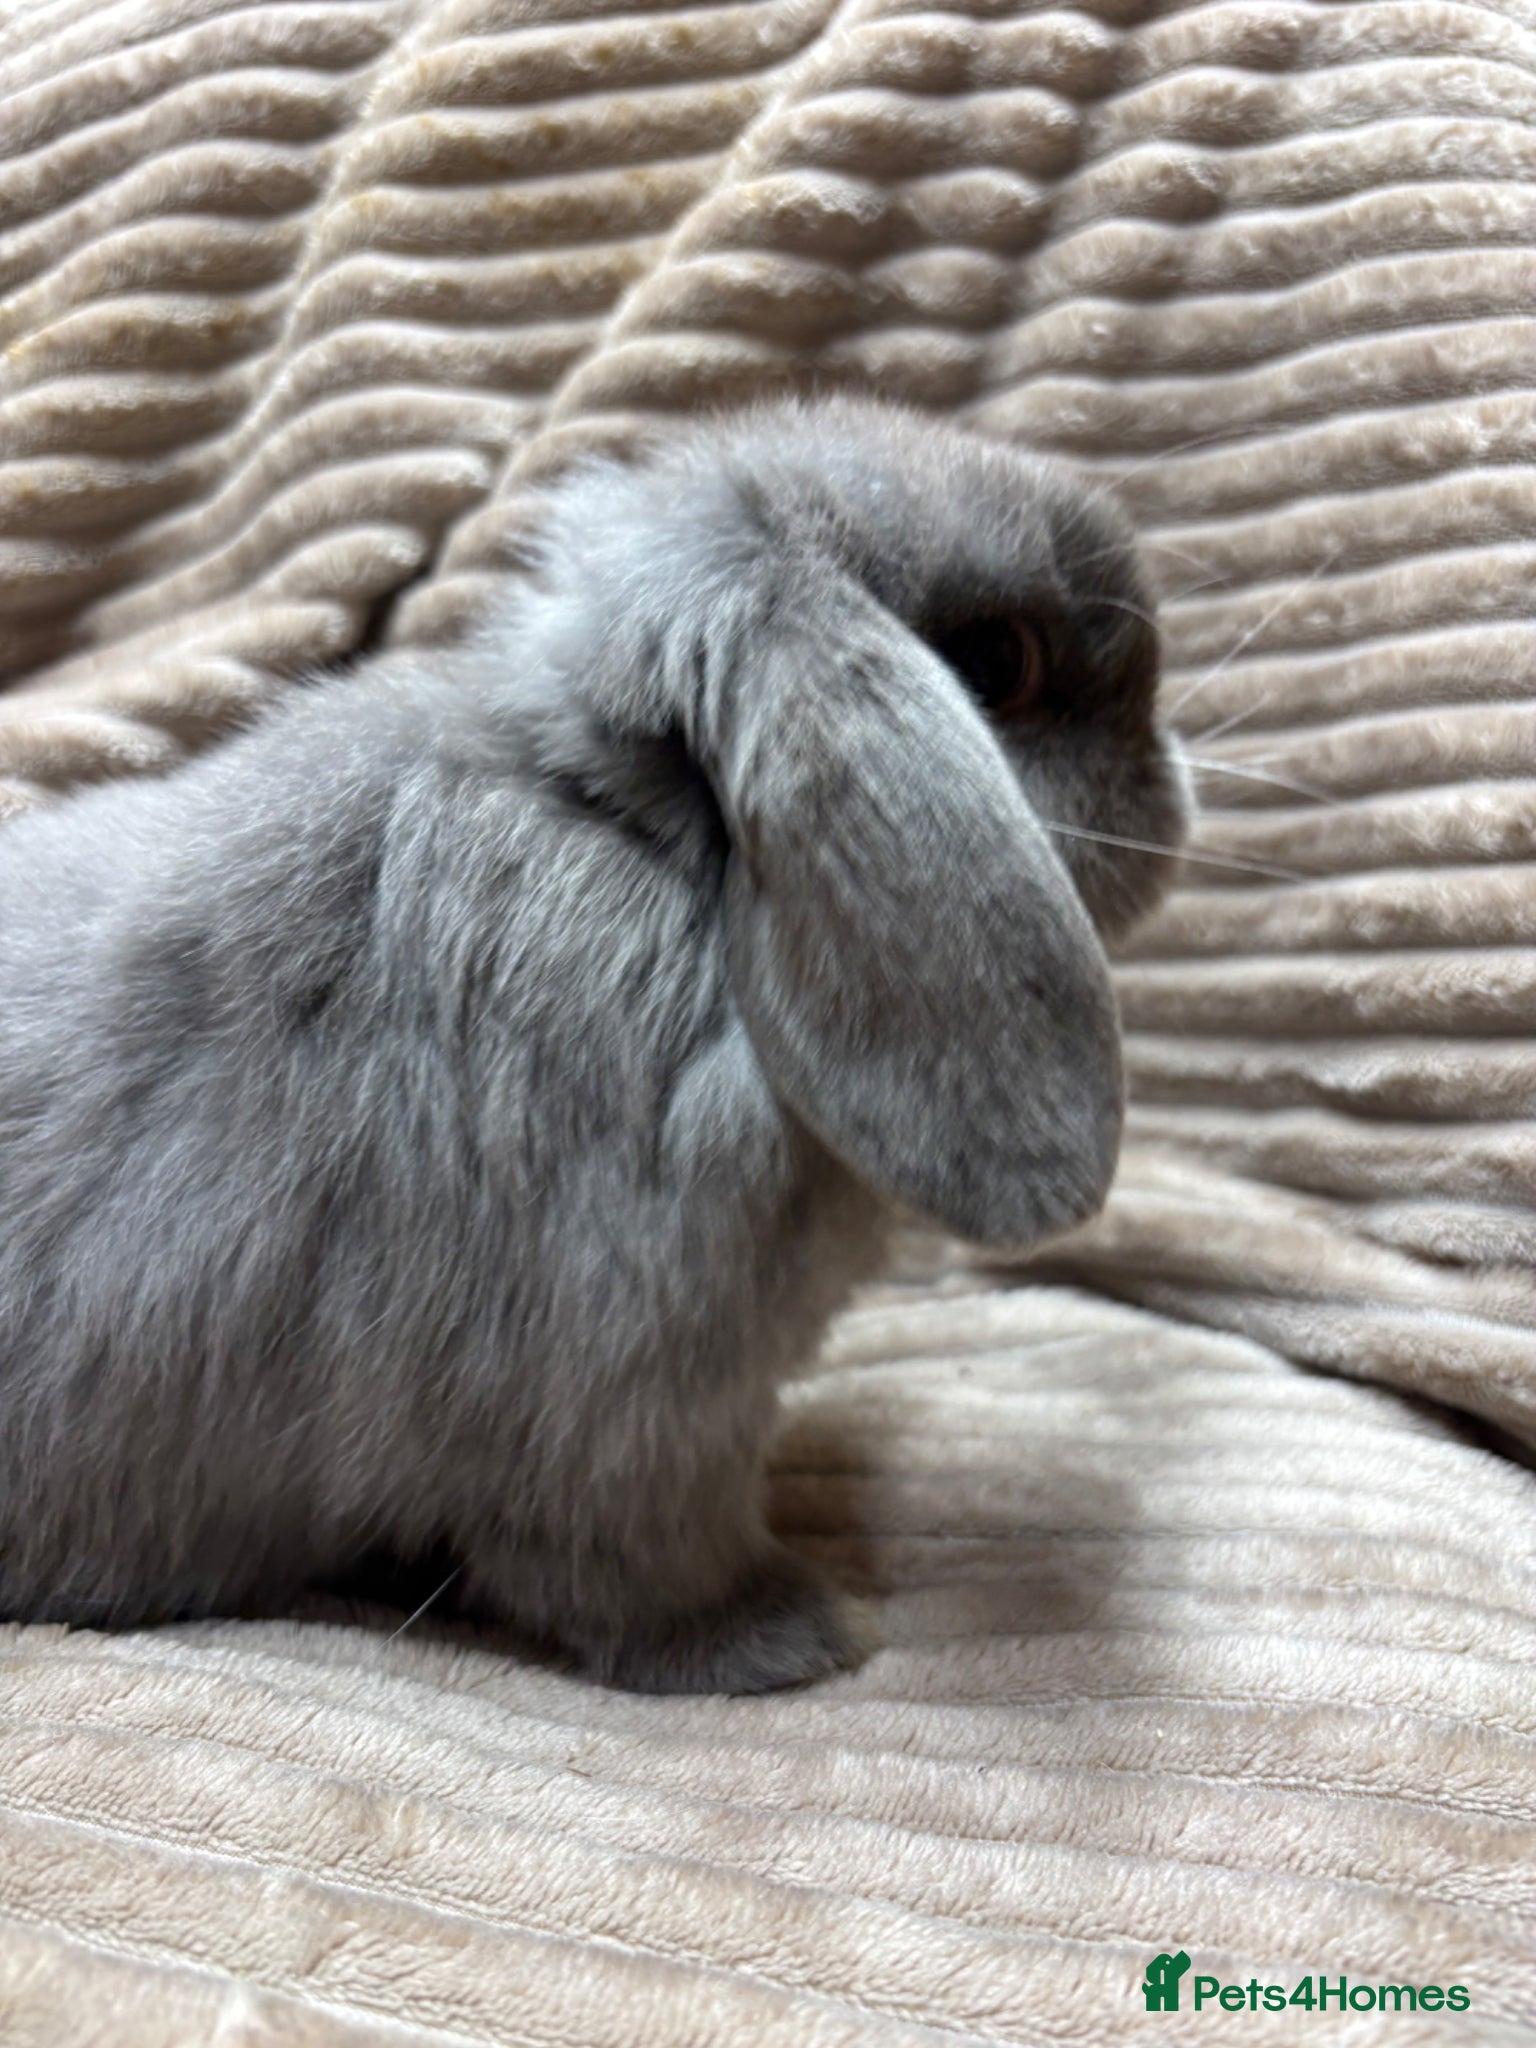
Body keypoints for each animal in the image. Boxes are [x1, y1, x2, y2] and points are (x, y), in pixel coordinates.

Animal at [0, 396, 1188, 1693]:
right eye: (998, 666)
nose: (1176, 785)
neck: (657, 856)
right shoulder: (634, 1415)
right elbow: (636, 1565)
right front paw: (800, 1632)